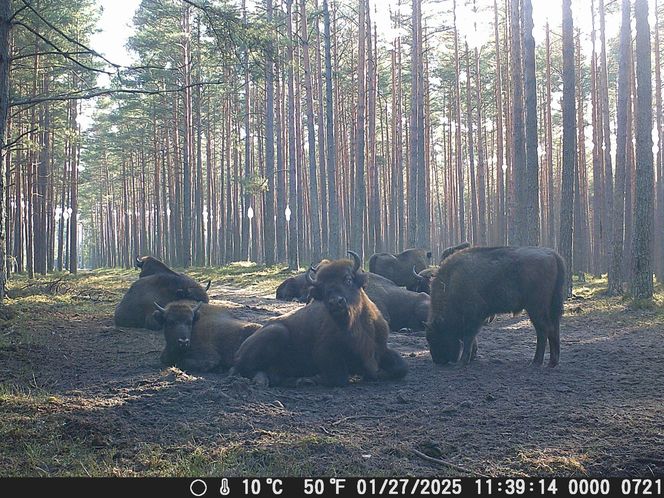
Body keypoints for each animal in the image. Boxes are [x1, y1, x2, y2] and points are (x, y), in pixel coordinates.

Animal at [233, 251, 410, 388]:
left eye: (348, 279)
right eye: (324, 289)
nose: (336, 302)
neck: (357, 325)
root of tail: (240, 350)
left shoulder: (381, 348)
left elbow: (401, 367)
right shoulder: (325, 354)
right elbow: (339, 378)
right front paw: (313, 378)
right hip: (277, 332)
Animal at [426, 247, 564, 368]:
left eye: (436, 336)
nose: (438, 360)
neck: (450, 283)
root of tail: (552, 254)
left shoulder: (473, 316)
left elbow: (468, 337)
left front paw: (462, 362)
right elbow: (471, 338)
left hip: (536, 308)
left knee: (543, 330)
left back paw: (535, 362)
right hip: (552, 308)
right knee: (554, 329)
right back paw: (552, 363)